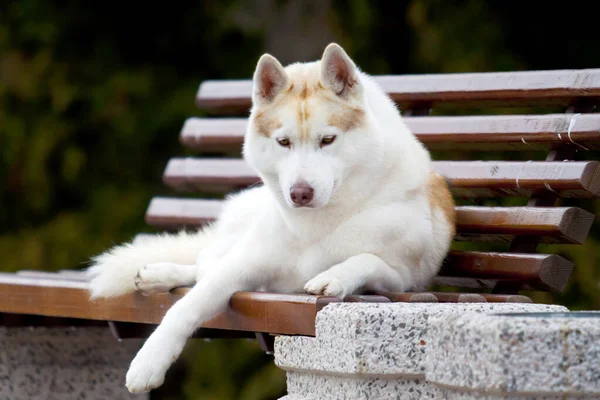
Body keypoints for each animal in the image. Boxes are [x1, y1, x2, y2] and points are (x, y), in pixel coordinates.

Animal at [86, 42, 458, 392]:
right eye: (284, 142)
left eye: (328, 140)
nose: (300, 193)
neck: (317, 224)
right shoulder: (245, 264)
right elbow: (190, 304)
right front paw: (148, 362)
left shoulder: (402, 279)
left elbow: (365, 259)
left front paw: (333, 276)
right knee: (205, 261)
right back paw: (157, 274)